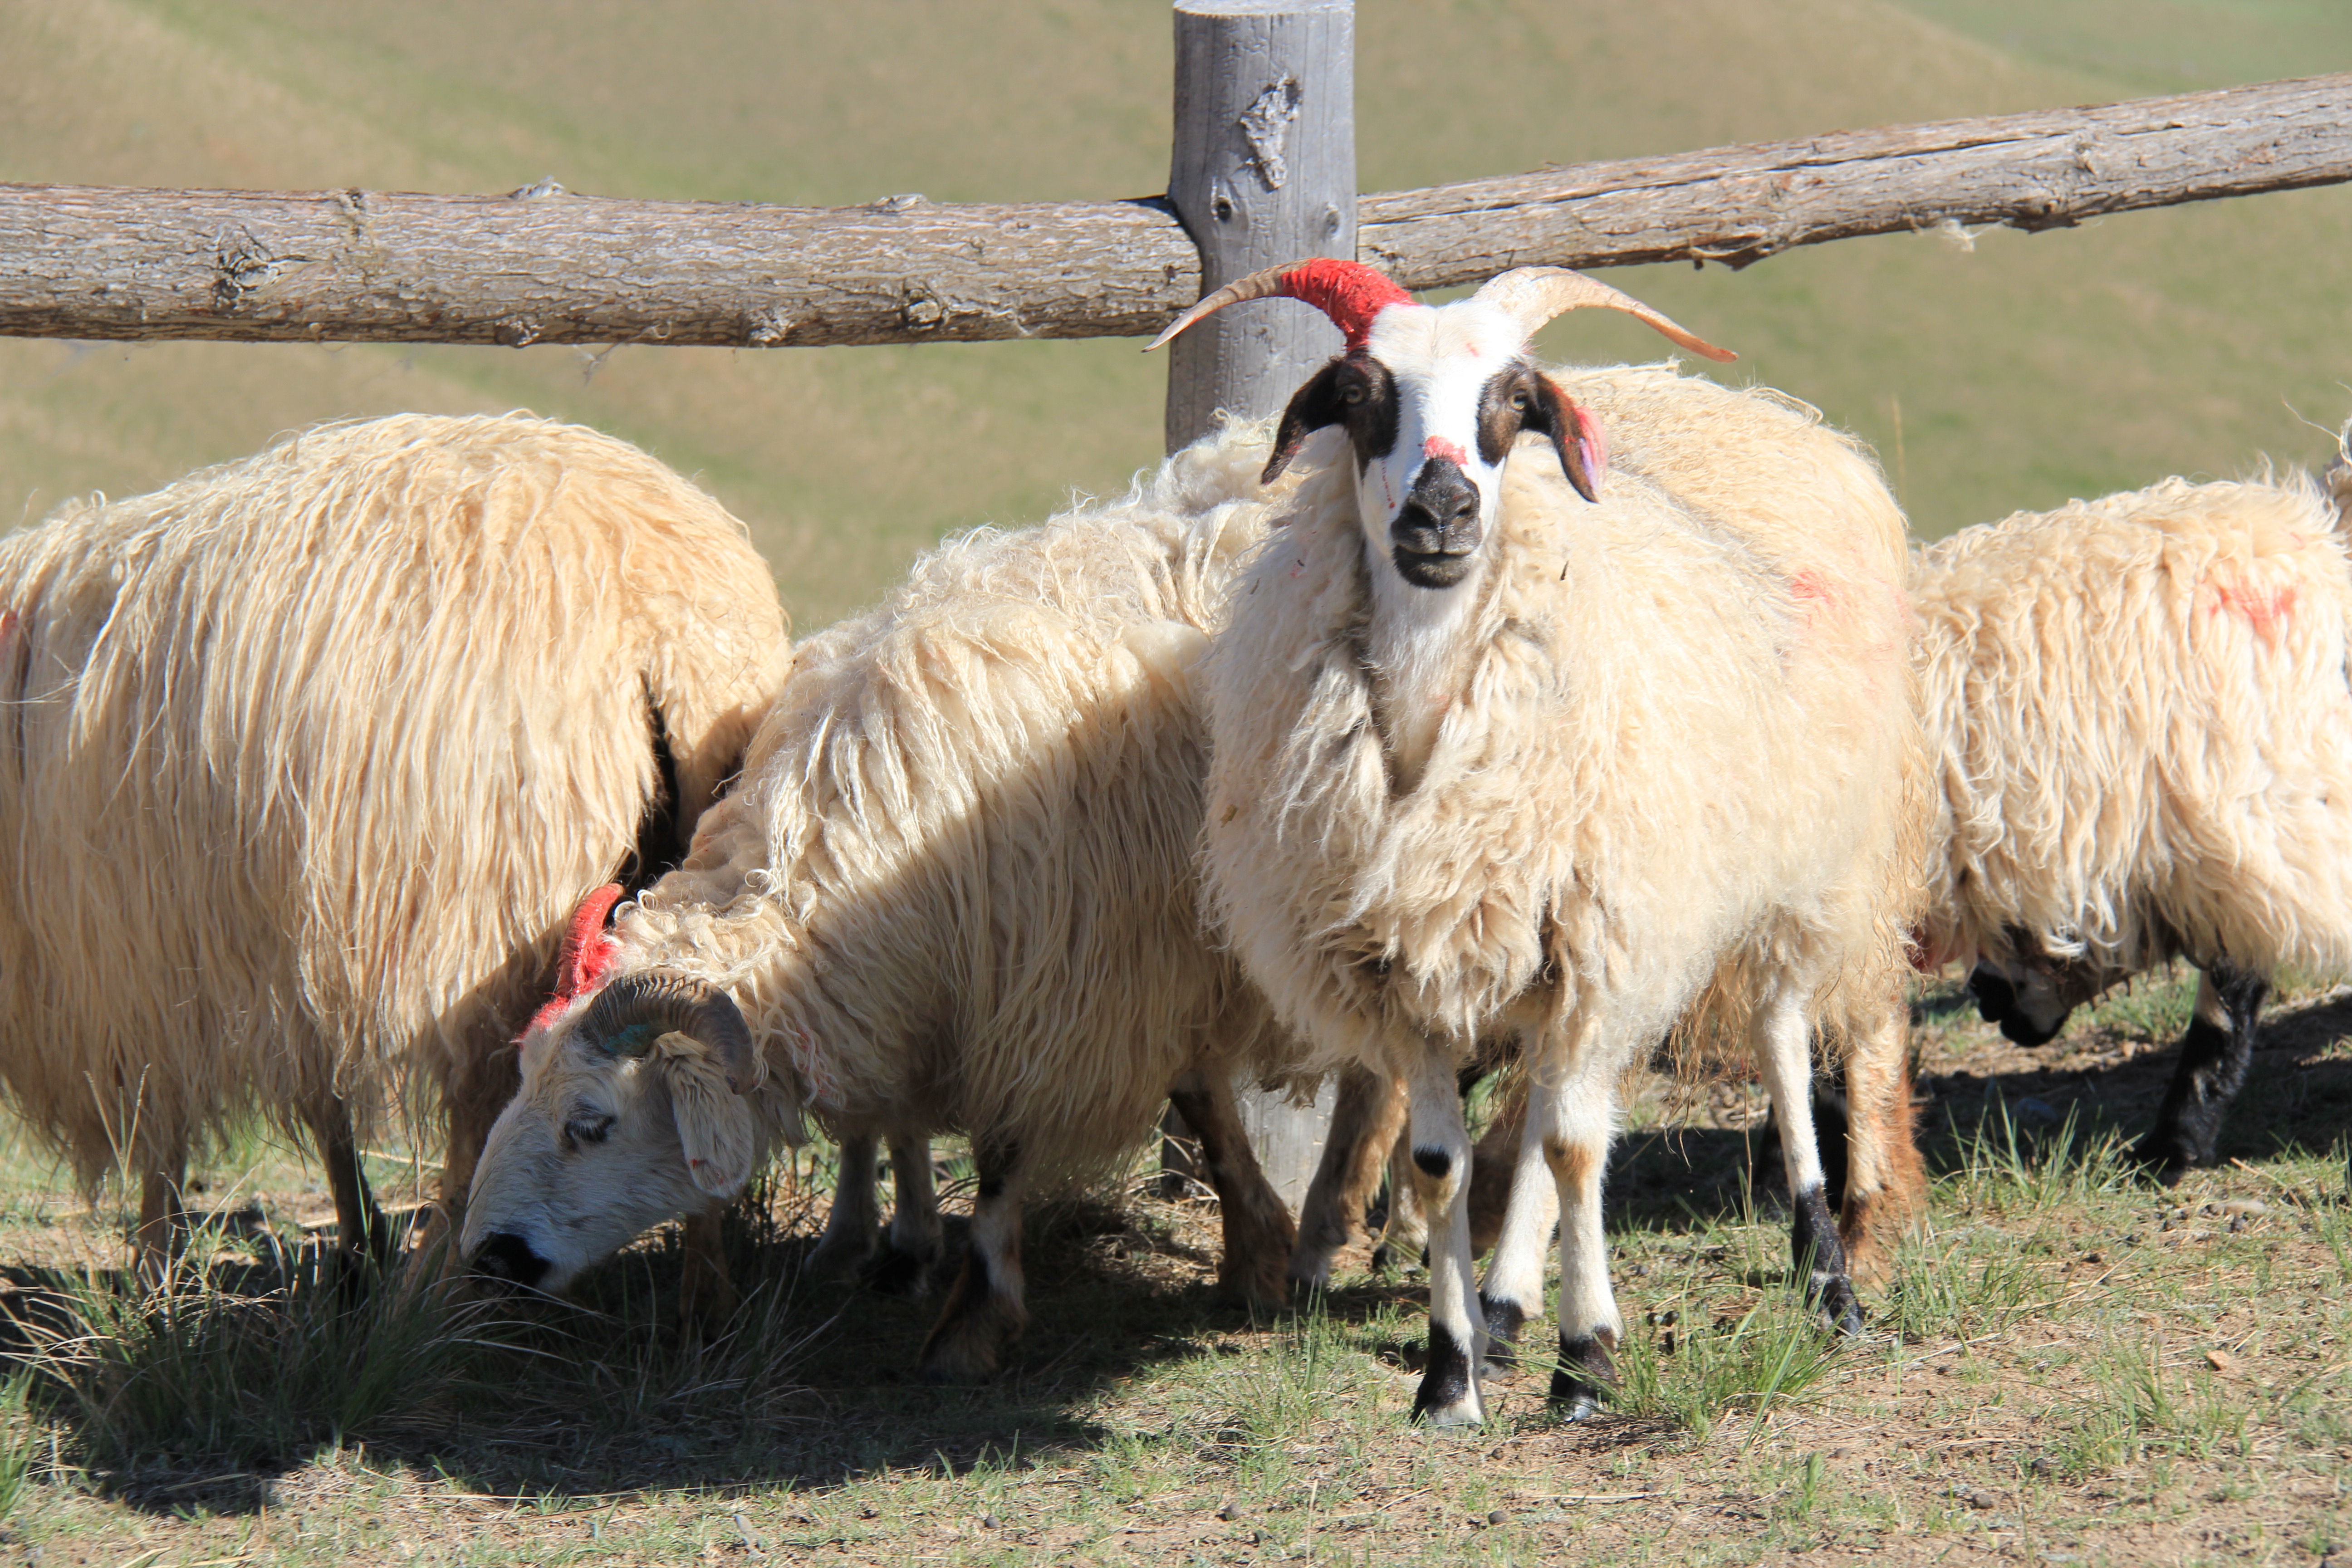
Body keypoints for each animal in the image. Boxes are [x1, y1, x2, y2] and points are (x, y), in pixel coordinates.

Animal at [0, 416, 790, 1279]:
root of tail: (664, 621)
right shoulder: (283, 932)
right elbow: (324, 1104)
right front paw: (355, 1234)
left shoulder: (139, 954)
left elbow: (165, 1124)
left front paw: (155, 1262)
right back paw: (703, 1290)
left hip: (483, 912)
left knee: (480, 1102)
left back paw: (434, 1273)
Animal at [456, 423, 1308, 1382]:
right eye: (520, 1082)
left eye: (591, 1124)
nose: (488, 1259)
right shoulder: (918, 987)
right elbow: (879, 1116)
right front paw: (872, 1239)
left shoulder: (1053, 995)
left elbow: (1008, 1153)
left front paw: (972, 1319)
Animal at [1157, 263, 1928, 1429]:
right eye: (1359, 393)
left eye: (1512, 403)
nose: (1443, 508)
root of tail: (1761, 411)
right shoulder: (1412, 969)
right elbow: (1442, 1163)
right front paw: (1450, 1374)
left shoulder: (1602, 942)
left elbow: (1575, 1147)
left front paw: (1588, 1361)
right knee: (1533, 1111)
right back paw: (1507, 1305)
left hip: (1798, 864)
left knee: (1779, 1044)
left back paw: (1823, 1271)